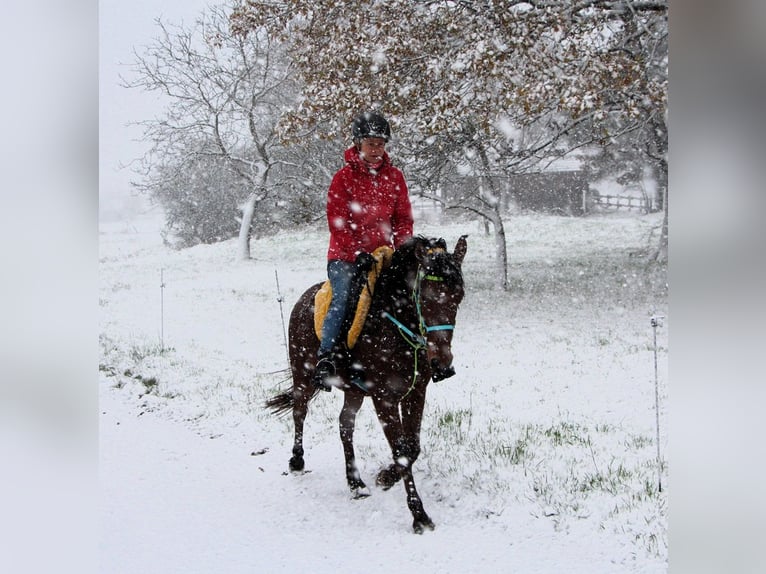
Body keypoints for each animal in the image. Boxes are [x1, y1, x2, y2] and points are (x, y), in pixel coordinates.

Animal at [268, 235, 472, 536]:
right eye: (424, 296)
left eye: (458, 296)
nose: (442, 363)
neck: (394, 322)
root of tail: (304, 299)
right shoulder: (384, 398)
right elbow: (401, 452)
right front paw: (418, 515)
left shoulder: (415, 392)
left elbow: (412, 447)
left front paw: (385, 477)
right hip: (302, 374)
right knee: (299, 411)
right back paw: (297, 461)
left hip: (354, 391)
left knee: (345, 425)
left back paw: (355, 483)